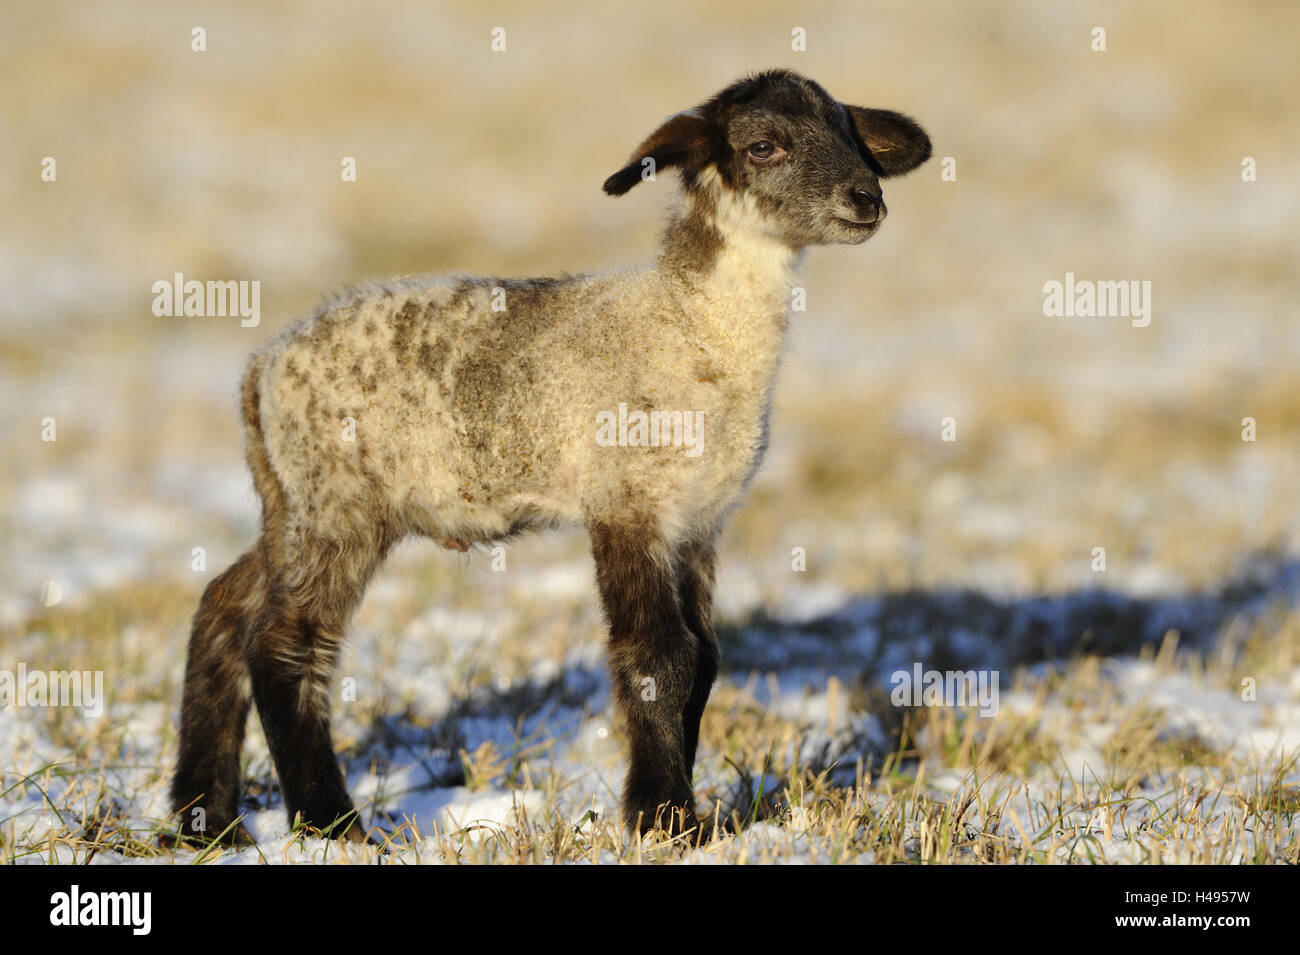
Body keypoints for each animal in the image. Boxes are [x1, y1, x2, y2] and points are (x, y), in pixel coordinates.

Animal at [172, 69, 930, 841]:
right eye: (764, 146)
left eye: (847, 130)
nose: (867, 199)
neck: (688, 324)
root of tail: (259, 372)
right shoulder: (627, 501)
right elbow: (660, 658)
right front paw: (661, 818)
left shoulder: (697, 521)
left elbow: (706, 660)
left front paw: (678, 811)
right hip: (337, 501)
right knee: (285, 642)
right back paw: (330, 822)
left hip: (293, 501)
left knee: (225, 605)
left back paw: (204, 816)